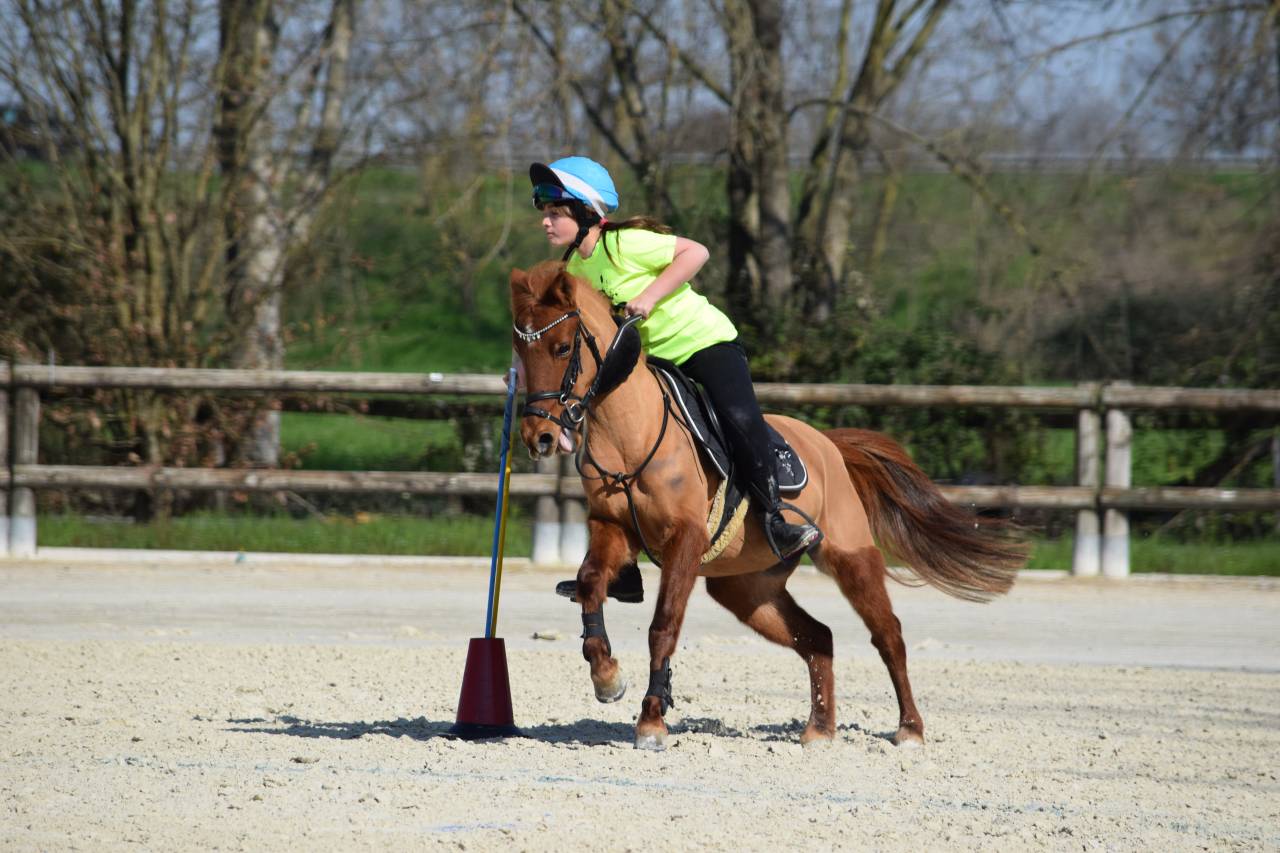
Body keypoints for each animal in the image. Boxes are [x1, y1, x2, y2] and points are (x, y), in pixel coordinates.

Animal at [510, 260, 1026, 750]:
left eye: (562, 348)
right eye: (520, 350)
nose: (540, 437)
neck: (630, 432)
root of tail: (829, 445)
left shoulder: (686, 539)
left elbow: (664, 625)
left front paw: (652, 721)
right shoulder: (613, 528)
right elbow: (590, 584)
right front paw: (606, 677)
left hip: (850, 557)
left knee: (888, 636)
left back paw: (910, 730)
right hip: (747, 588)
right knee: (818, 637)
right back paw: (819, 730)